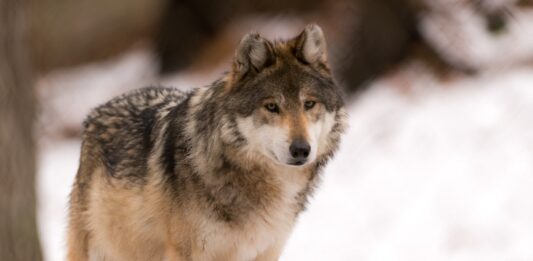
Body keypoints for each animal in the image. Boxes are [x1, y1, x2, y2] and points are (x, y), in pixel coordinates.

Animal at [67, 24, 344, 260]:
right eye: (272, 107)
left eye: (309, 104)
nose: (301, 150)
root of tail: (97, 111)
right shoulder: (188, 253)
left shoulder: (266, 251)